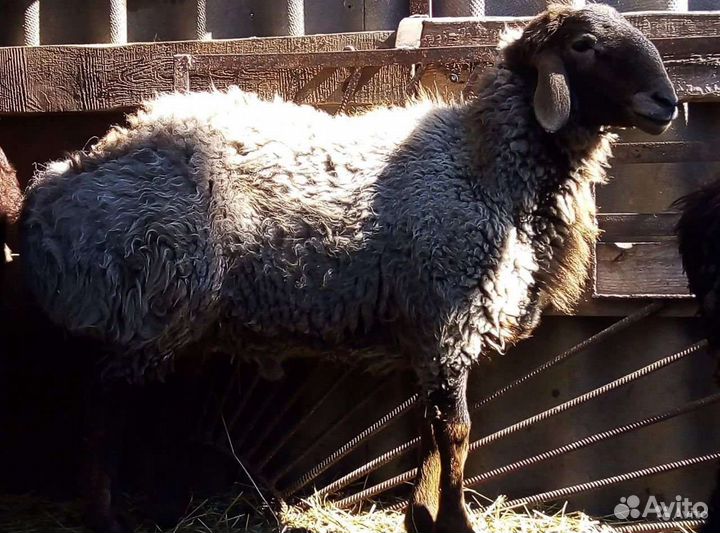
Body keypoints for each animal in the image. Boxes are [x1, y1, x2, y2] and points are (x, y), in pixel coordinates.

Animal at [20, 4, 678, 532]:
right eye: (583, 44)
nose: (667, 102)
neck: (484, 167)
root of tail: (55, 186)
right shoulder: (448, 315)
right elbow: (457, 433)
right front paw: (455, 520)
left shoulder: (431, 329)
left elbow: (431, 433)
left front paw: (422, 515)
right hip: (143, 304)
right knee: (102, 412)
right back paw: (104, 516)